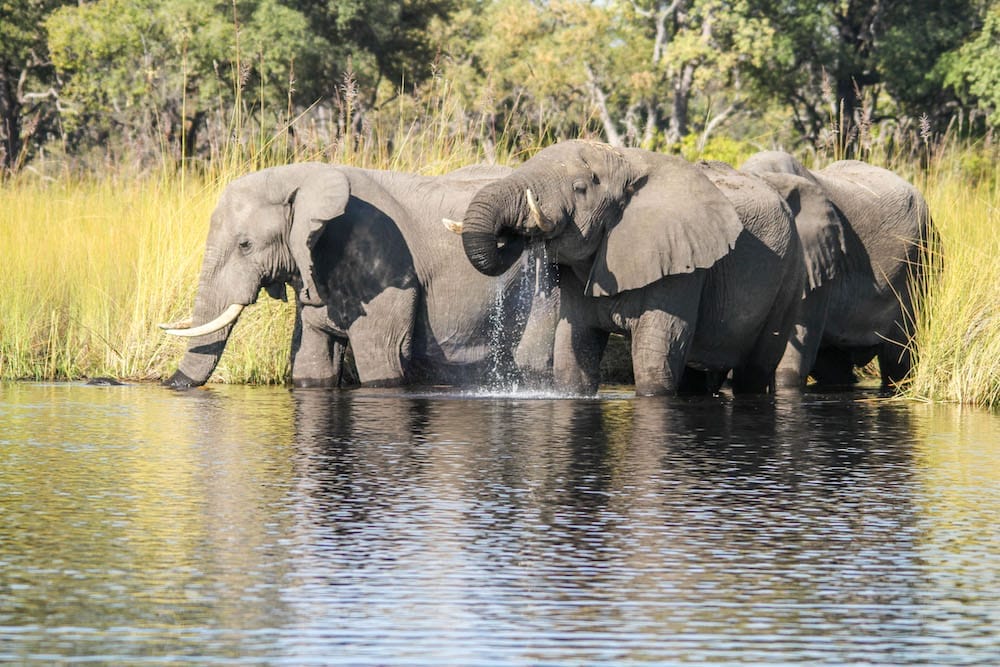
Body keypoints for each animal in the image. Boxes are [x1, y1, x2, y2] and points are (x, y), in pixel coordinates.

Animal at [160, 162, 547, 388]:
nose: (168, 383)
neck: (306, 177)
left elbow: (381, 357)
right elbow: (310, 359)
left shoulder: (382, 261)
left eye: (245, 245)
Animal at [449, 139, 804, 396]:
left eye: (580, 188)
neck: (625, 160)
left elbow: (654, 362)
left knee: (755, 371)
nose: (517, 232)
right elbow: (573, 355)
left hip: (789, 278)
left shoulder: (681, 264)